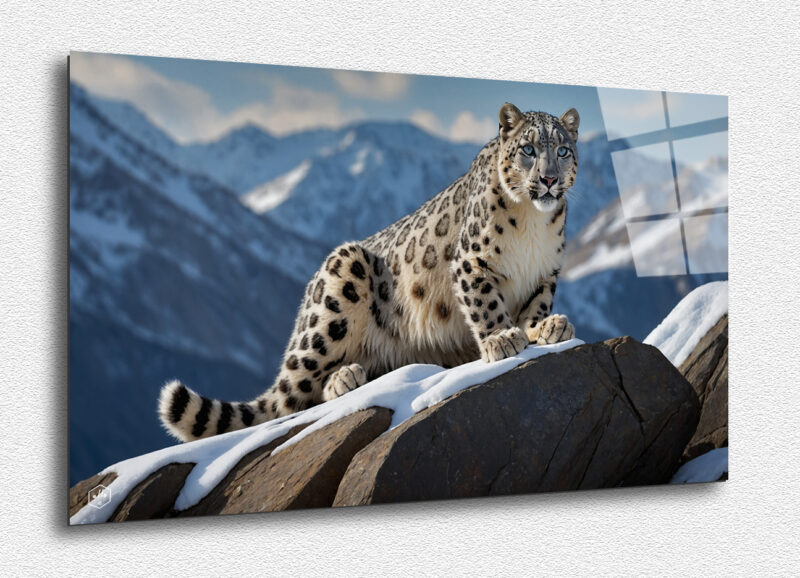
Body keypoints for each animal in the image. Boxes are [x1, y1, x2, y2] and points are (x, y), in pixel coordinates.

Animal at [159, 103, 580, 442]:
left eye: (562, 150)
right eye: (528, 149)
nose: (549, 179)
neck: (532, 227)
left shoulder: (545, 272)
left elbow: (536, 305)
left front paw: (546, 327)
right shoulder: (470, 261)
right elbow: (486, 303)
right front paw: (502, 338)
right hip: (336, 295)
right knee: (292, 397)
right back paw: (344, 378)